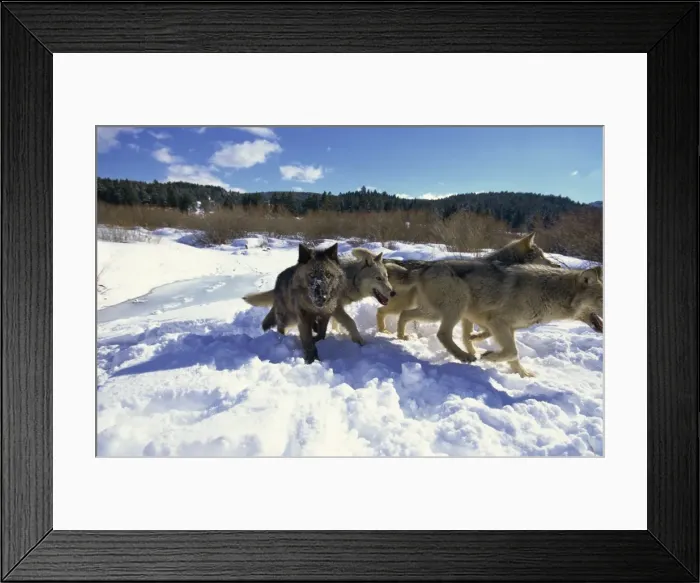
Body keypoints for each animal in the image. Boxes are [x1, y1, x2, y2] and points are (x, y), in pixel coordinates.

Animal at [377, 232, 561, 350]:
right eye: (543, 257)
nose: (558, 266)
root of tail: (422, 267)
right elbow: (482, 333)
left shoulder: (470, 315)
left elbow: (471, 336)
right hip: (429, 308)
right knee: (384, 311)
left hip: (429, 311)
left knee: (395, 314)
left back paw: (393, 333)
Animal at [403, 260, 603, 377]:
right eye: (602, 299)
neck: (548, 293)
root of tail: (422, 268)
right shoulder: (497, 321)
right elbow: (513, 352)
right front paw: (489, 356)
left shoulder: (508, 328)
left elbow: (511, 354)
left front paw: (522, 374)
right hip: (456, 306)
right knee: (442, 334)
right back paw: (464, 356)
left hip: (435, 313)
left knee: (405, 314)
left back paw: (401, 335)